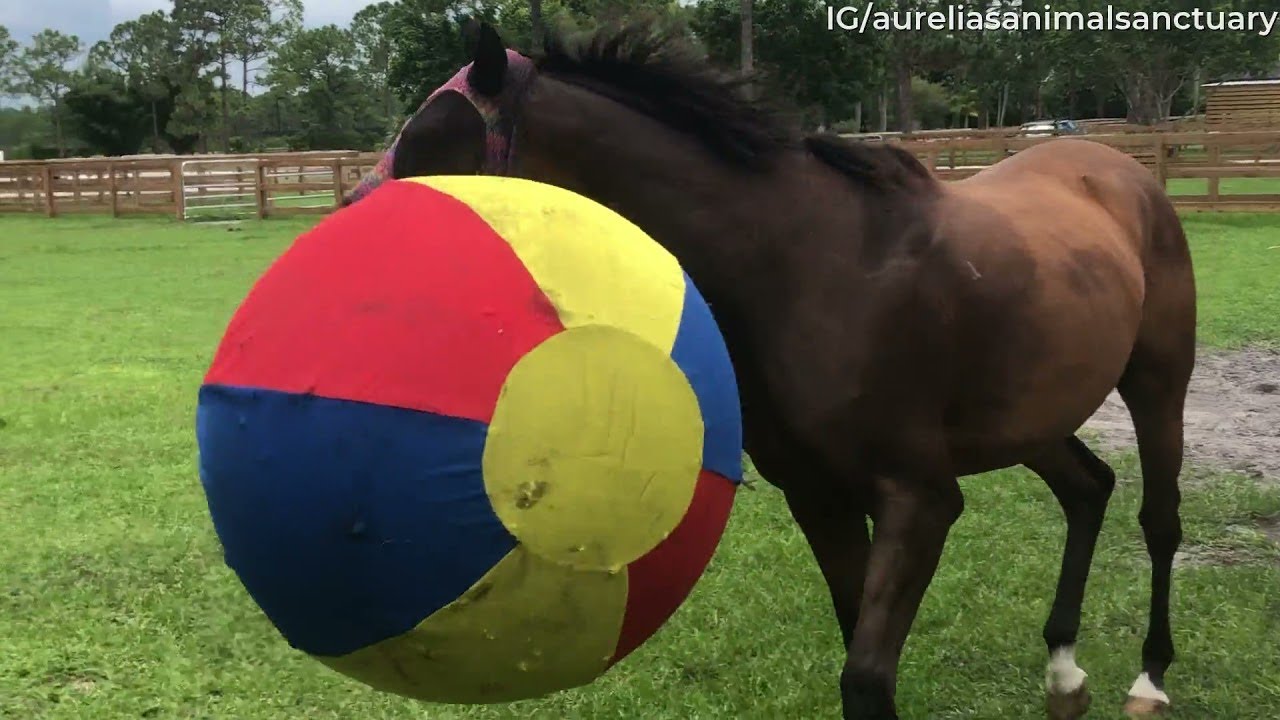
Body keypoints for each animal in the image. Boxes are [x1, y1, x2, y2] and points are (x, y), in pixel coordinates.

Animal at [342, 22, 1197, 720]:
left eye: (429, 146)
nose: (351, 245)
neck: (811, 269)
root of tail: (1118, 169)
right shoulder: (818, 496)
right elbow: (859, 653)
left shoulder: (920, 501)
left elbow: (866, 680)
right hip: (1032, 421)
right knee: (1088, 489)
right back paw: (1064, 675)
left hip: (1157, 389)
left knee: (1158, 520)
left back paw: (1149, 681)